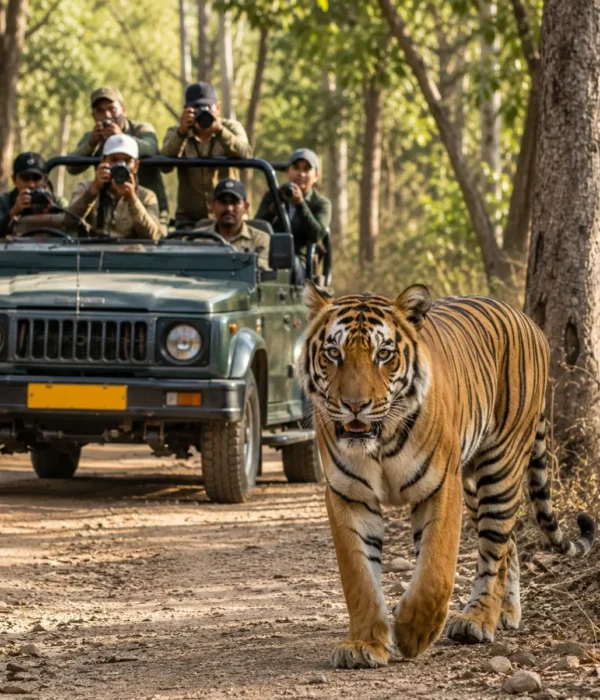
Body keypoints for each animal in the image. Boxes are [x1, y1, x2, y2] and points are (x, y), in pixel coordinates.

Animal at [297, 281, 596, 670]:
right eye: (333, 353)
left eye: (383, 354)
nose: (355, 405)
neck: (380, 440)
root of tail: (528, 321)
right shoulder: (348, 493)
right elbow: (358, 576)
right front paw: (364, 644)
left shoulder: (441, 486)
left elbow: (435, 570)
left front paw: (413, 632)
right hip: (474, 486)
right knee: (510, 543)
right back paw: (505, 613)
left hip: (499, 468)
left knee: (493, 549)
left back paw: (478, 620)